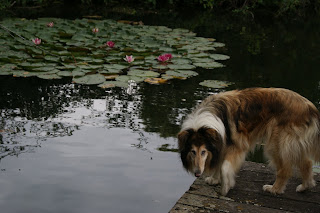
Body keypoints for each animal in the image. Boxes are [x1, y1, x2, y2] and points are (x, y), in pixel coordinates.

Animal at [178, 87, 320, 196]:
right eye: (192, 152)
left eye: (203, 152)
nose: (197, 173)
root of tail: (310, 106)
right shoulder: (221, 145)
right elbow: (219, 163)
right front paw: (215, 179)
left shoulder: (236, 146)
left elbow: (224, 167)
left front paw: (225, 187)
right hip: (293, 144)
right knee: (307, 162)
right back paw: (304, 186)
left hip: (276, 144)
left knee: (285, 169)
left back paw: (274, 189)